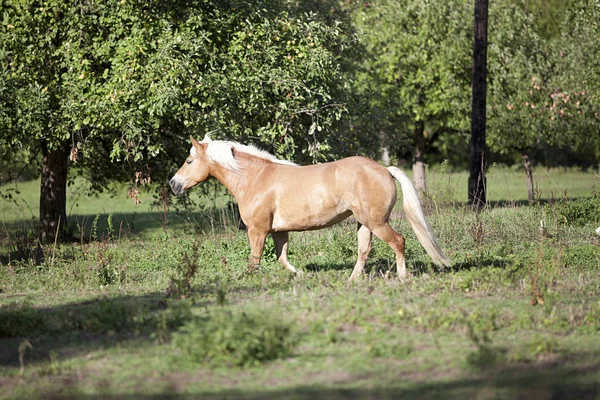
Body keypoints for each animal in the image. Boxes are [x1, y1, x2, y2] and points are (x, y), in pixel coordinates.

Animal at [169, 136, 450, 280]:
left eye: (189, 160)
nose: (173, 184)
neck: (255, 179)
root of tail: (384, 169)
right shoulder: (279, 232)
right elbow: (283, 259)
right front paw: (302, 276)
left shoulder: (257, 231)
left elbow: (254, 260)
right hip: (364, 223)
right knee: (364, 251)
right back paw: (352, 280)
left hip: (377, 222)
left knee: (399, 242)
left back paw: (402, 277)